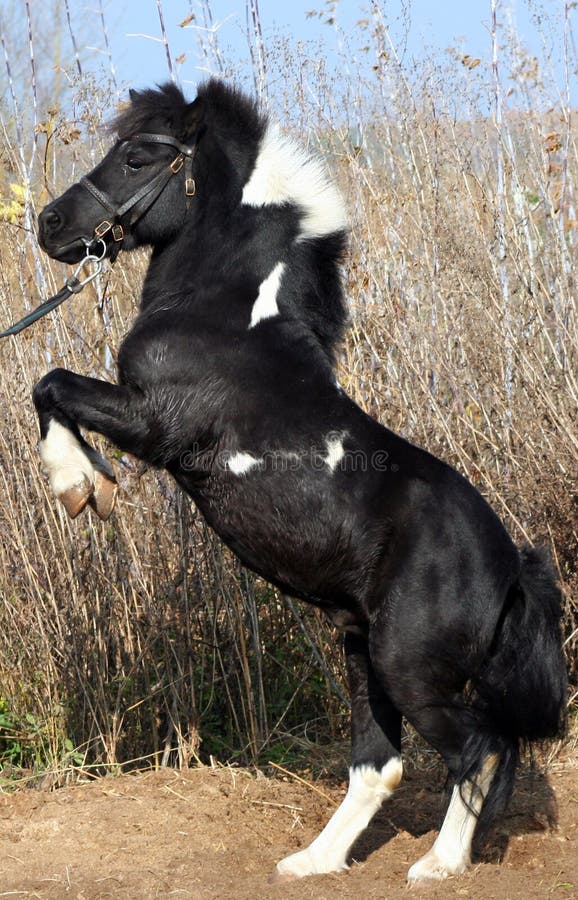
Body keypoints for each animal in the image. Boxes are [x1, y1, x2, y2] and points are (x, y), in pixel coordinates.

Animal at [33, 79, 566, 884]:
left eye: (136, 158)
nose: (50, 224)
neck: (232, 318)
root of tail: (508, 566)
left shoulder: (155, 424)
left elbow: (52, 384)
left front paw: (80, 483)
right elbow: (52, 390)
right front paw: (89, 482)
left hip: (406, 666)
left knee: (479, 748)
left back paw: (438, 865)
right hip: (362, 652)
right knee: (381, 766)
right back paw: (314, 860)